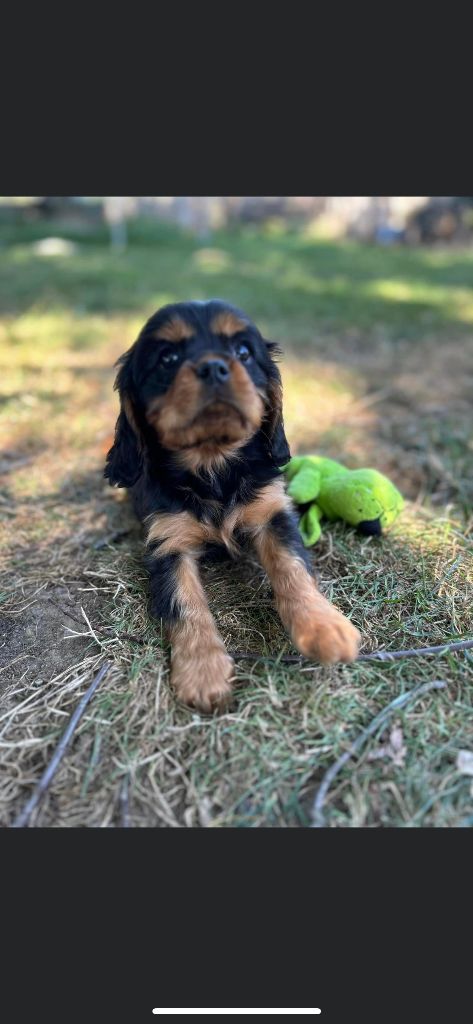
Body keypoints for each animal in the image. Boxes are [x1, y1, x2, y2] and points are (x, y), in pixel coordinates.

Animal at [105, 299, 360, 708]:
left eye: (243, 352)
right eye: (167, 358)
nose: (213, 366)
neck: (213, 466)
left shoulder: (273, 514)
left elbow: (293, 568)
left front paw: (324, 627)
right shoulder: (168, 543)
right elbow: (185, 602)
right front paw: (203, 672)